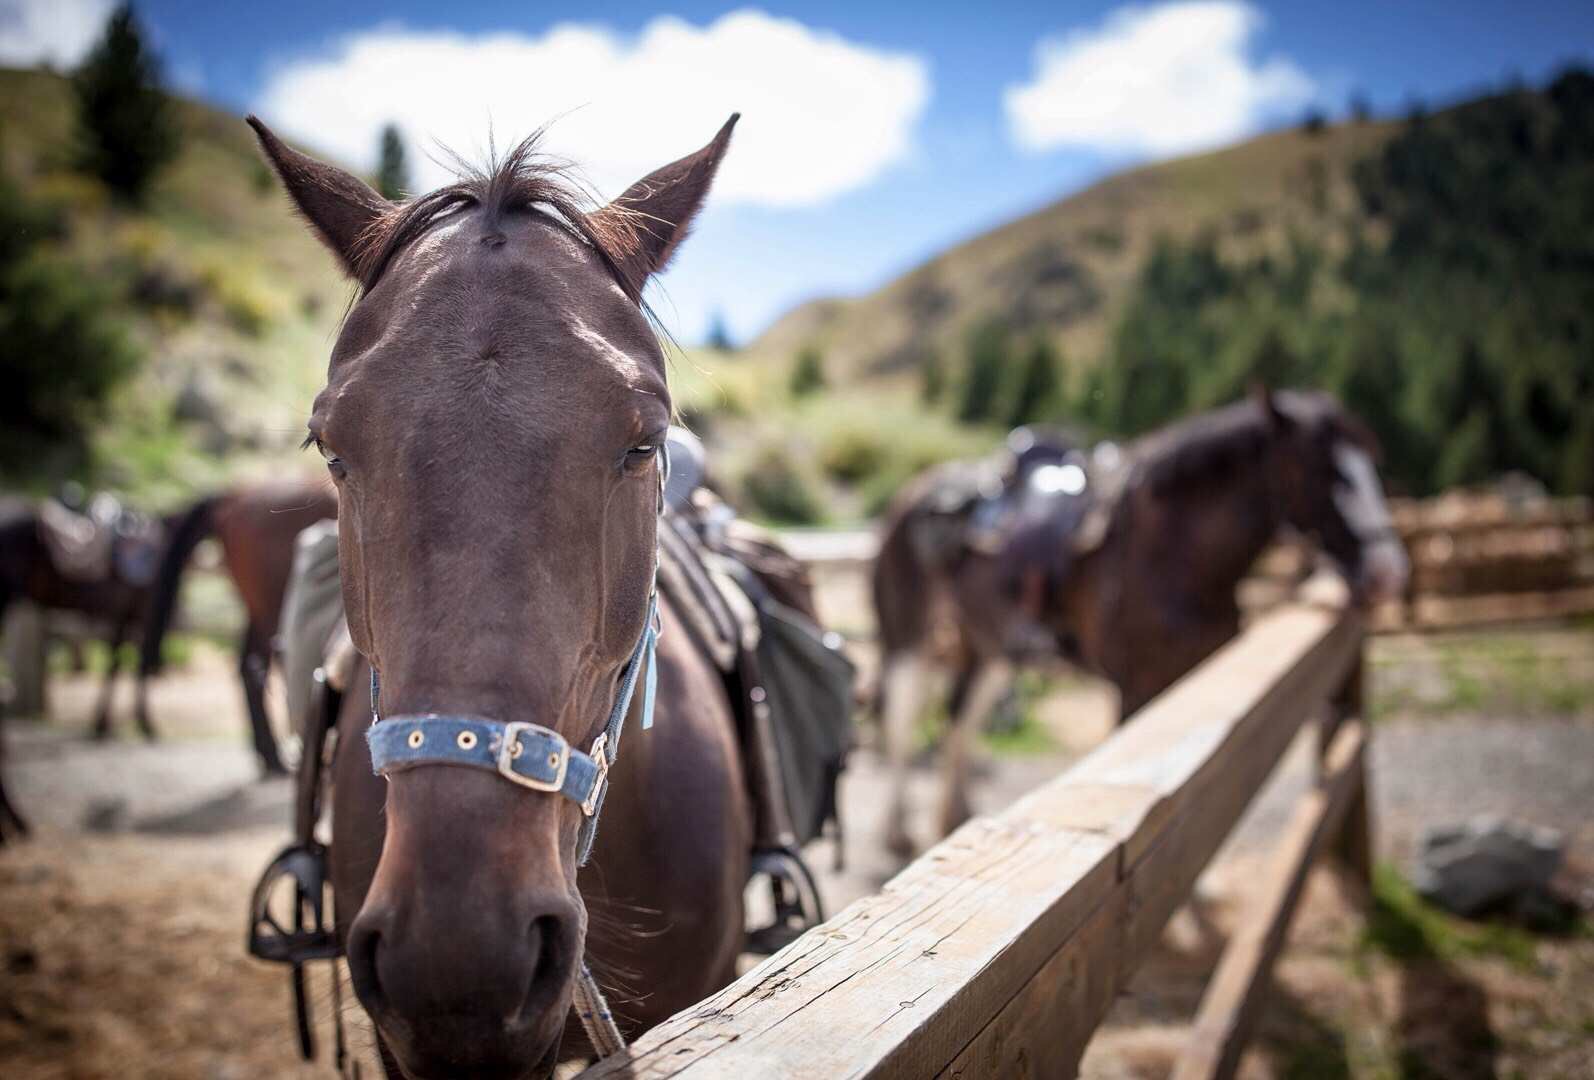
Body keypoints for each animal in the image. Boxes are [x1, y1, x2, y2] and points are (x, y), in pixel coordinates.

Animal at [137, 477, 336, 774]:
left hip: (257, 609)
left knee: (248, 666)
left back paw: (268, 754)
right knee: (260, 667)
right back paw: (275, 757)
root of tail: (235, 495)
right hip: (270, 608)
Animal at [873, 387, 1409, 853]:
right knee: (901, 723)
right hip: (910, 643)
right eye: (1324, 471)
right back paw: (896, 830)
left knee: (959, 719)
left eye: (1372, 467)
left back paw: (954, 813)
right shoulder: (1134, 689)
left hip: (988, 649)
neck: (1171, 553)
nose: (1388, 572)